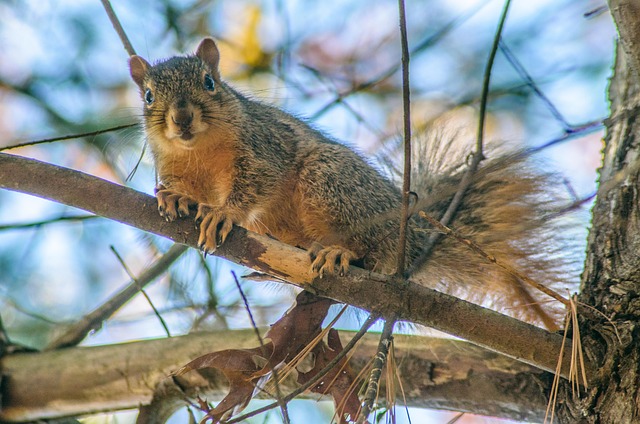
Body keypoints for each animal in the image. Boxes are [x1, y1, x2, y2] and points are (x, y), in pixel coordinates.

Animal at [129, 38, 574, 329]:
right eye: (148, 96)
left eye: (209, 82)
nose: (181, 118)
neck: (198, 150)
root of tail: (411, 239)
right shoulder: (175, 164)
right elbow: (185, 188)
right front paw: (175, 198)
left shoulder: (264, 147)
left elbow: (255, 182)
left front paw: (223, 213)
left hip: (329, 178)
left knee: (371, 251)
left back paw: (340, 251)